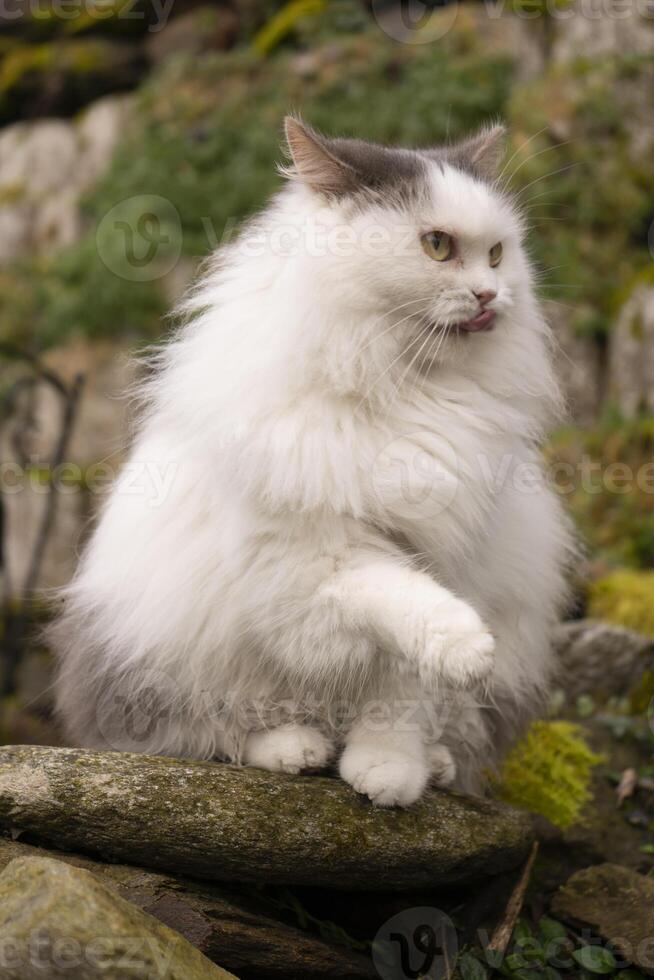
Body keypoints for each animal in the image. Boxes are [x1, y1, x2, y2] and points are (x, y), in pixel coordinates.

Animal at [52, 118, 576, 804]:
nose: (491, 295)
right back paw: (297, 750)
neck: (410, 390)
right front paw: (464, 647)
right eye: (437, 246)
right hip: (163, 665)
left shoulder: (457, 556)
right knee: (215, 734)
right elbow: (394, 594)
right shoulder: (309, 570)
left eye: (496, 254)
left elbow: (401, 700)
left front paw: (389, 776)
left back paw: (430, 766)